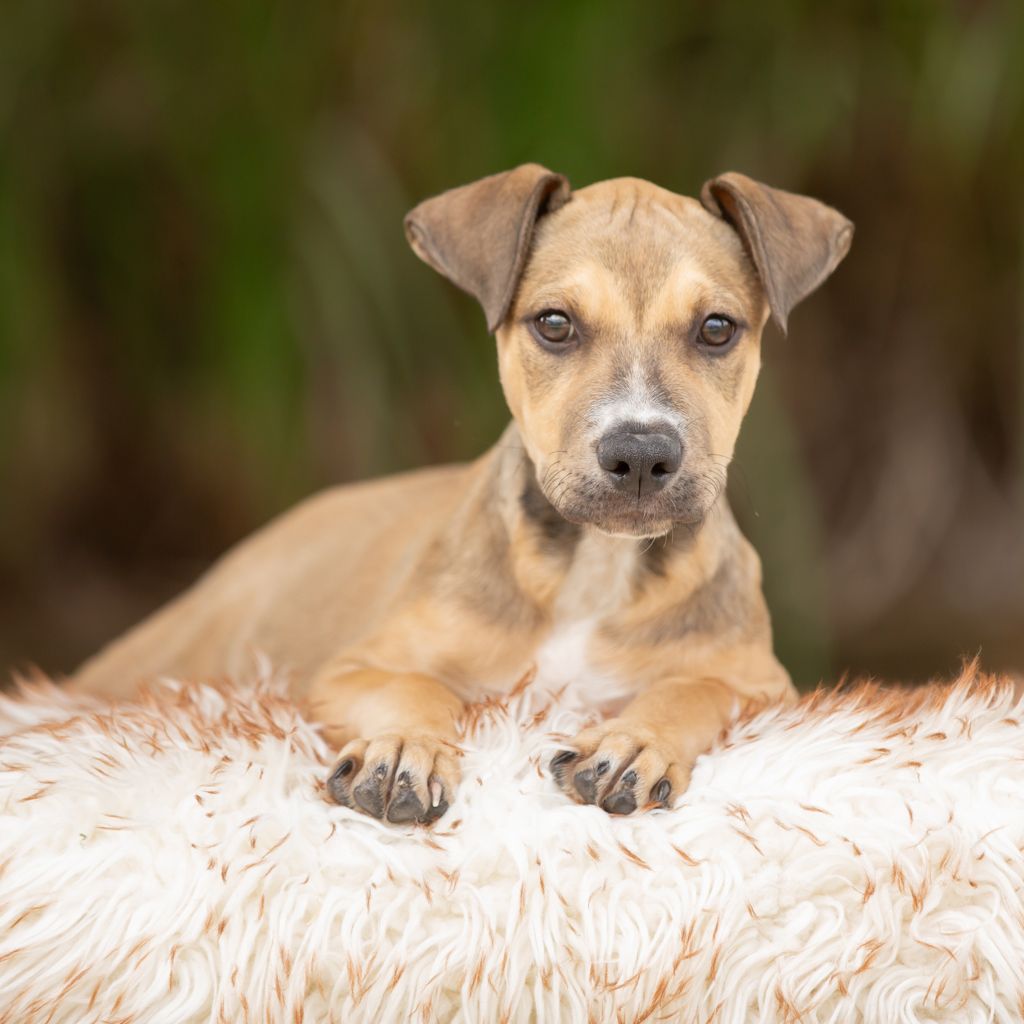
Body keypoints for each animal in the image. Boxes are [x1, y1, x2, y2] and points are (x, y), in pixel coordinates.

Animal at [70, 164, 853, 825]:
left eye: (717, 329)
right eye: (554, 323)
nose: (639, 454)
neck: (592, 569)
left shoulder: (770, 689)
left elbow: (695, 688)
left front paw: (632, 742)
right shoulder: (350, 670)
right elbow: (418, 688)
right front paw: (404, 751)